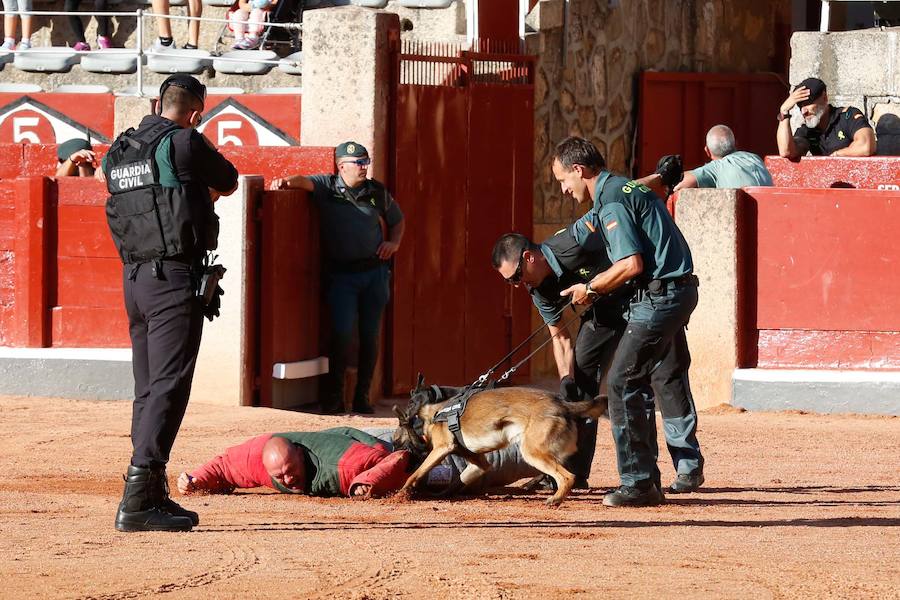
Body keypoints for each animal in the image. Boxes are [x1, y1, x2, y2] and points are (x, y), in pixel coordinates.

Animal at [392, 376, 608, 506]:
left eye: (397, 443)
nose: (398, 457)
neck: (432, 414)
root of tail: (563, 404)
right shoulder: (479, 463)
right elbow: (460, 479)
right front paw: (445, 495)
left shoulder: (442, 448)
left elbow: (416, 474)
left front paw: (400, 493)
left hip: (532, 452)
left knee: (567, 477)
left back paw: (554, 499)